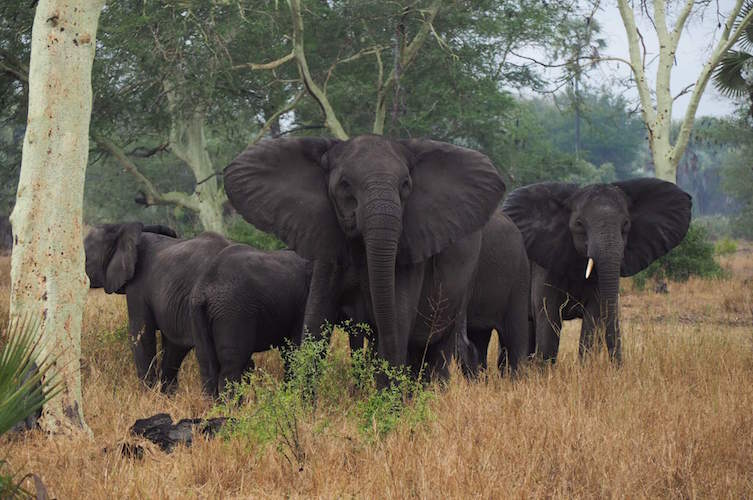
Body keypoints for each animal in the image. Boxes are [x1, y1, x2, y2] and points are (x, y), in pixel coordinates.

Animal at [192, 243, 312, 398]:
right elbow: (295, 346)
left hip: (199, 311)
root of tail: (205, 287)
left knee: (206, 364)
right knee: (231, 367)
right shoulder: (301, 304)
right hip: (233, 310)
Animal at [223, 134, 506, 378]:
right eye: (345, 185)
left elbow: (398, 322)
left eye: (406, 185)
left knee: (437, 349)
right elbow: (315, 325)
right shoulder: (327, 249)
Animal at [502, 178, 692, 362]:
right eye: (579, 224)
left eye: (626, 224)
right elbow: (548, 316)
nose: (618, 366)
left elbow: (593, 320)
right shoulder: (545, 260)